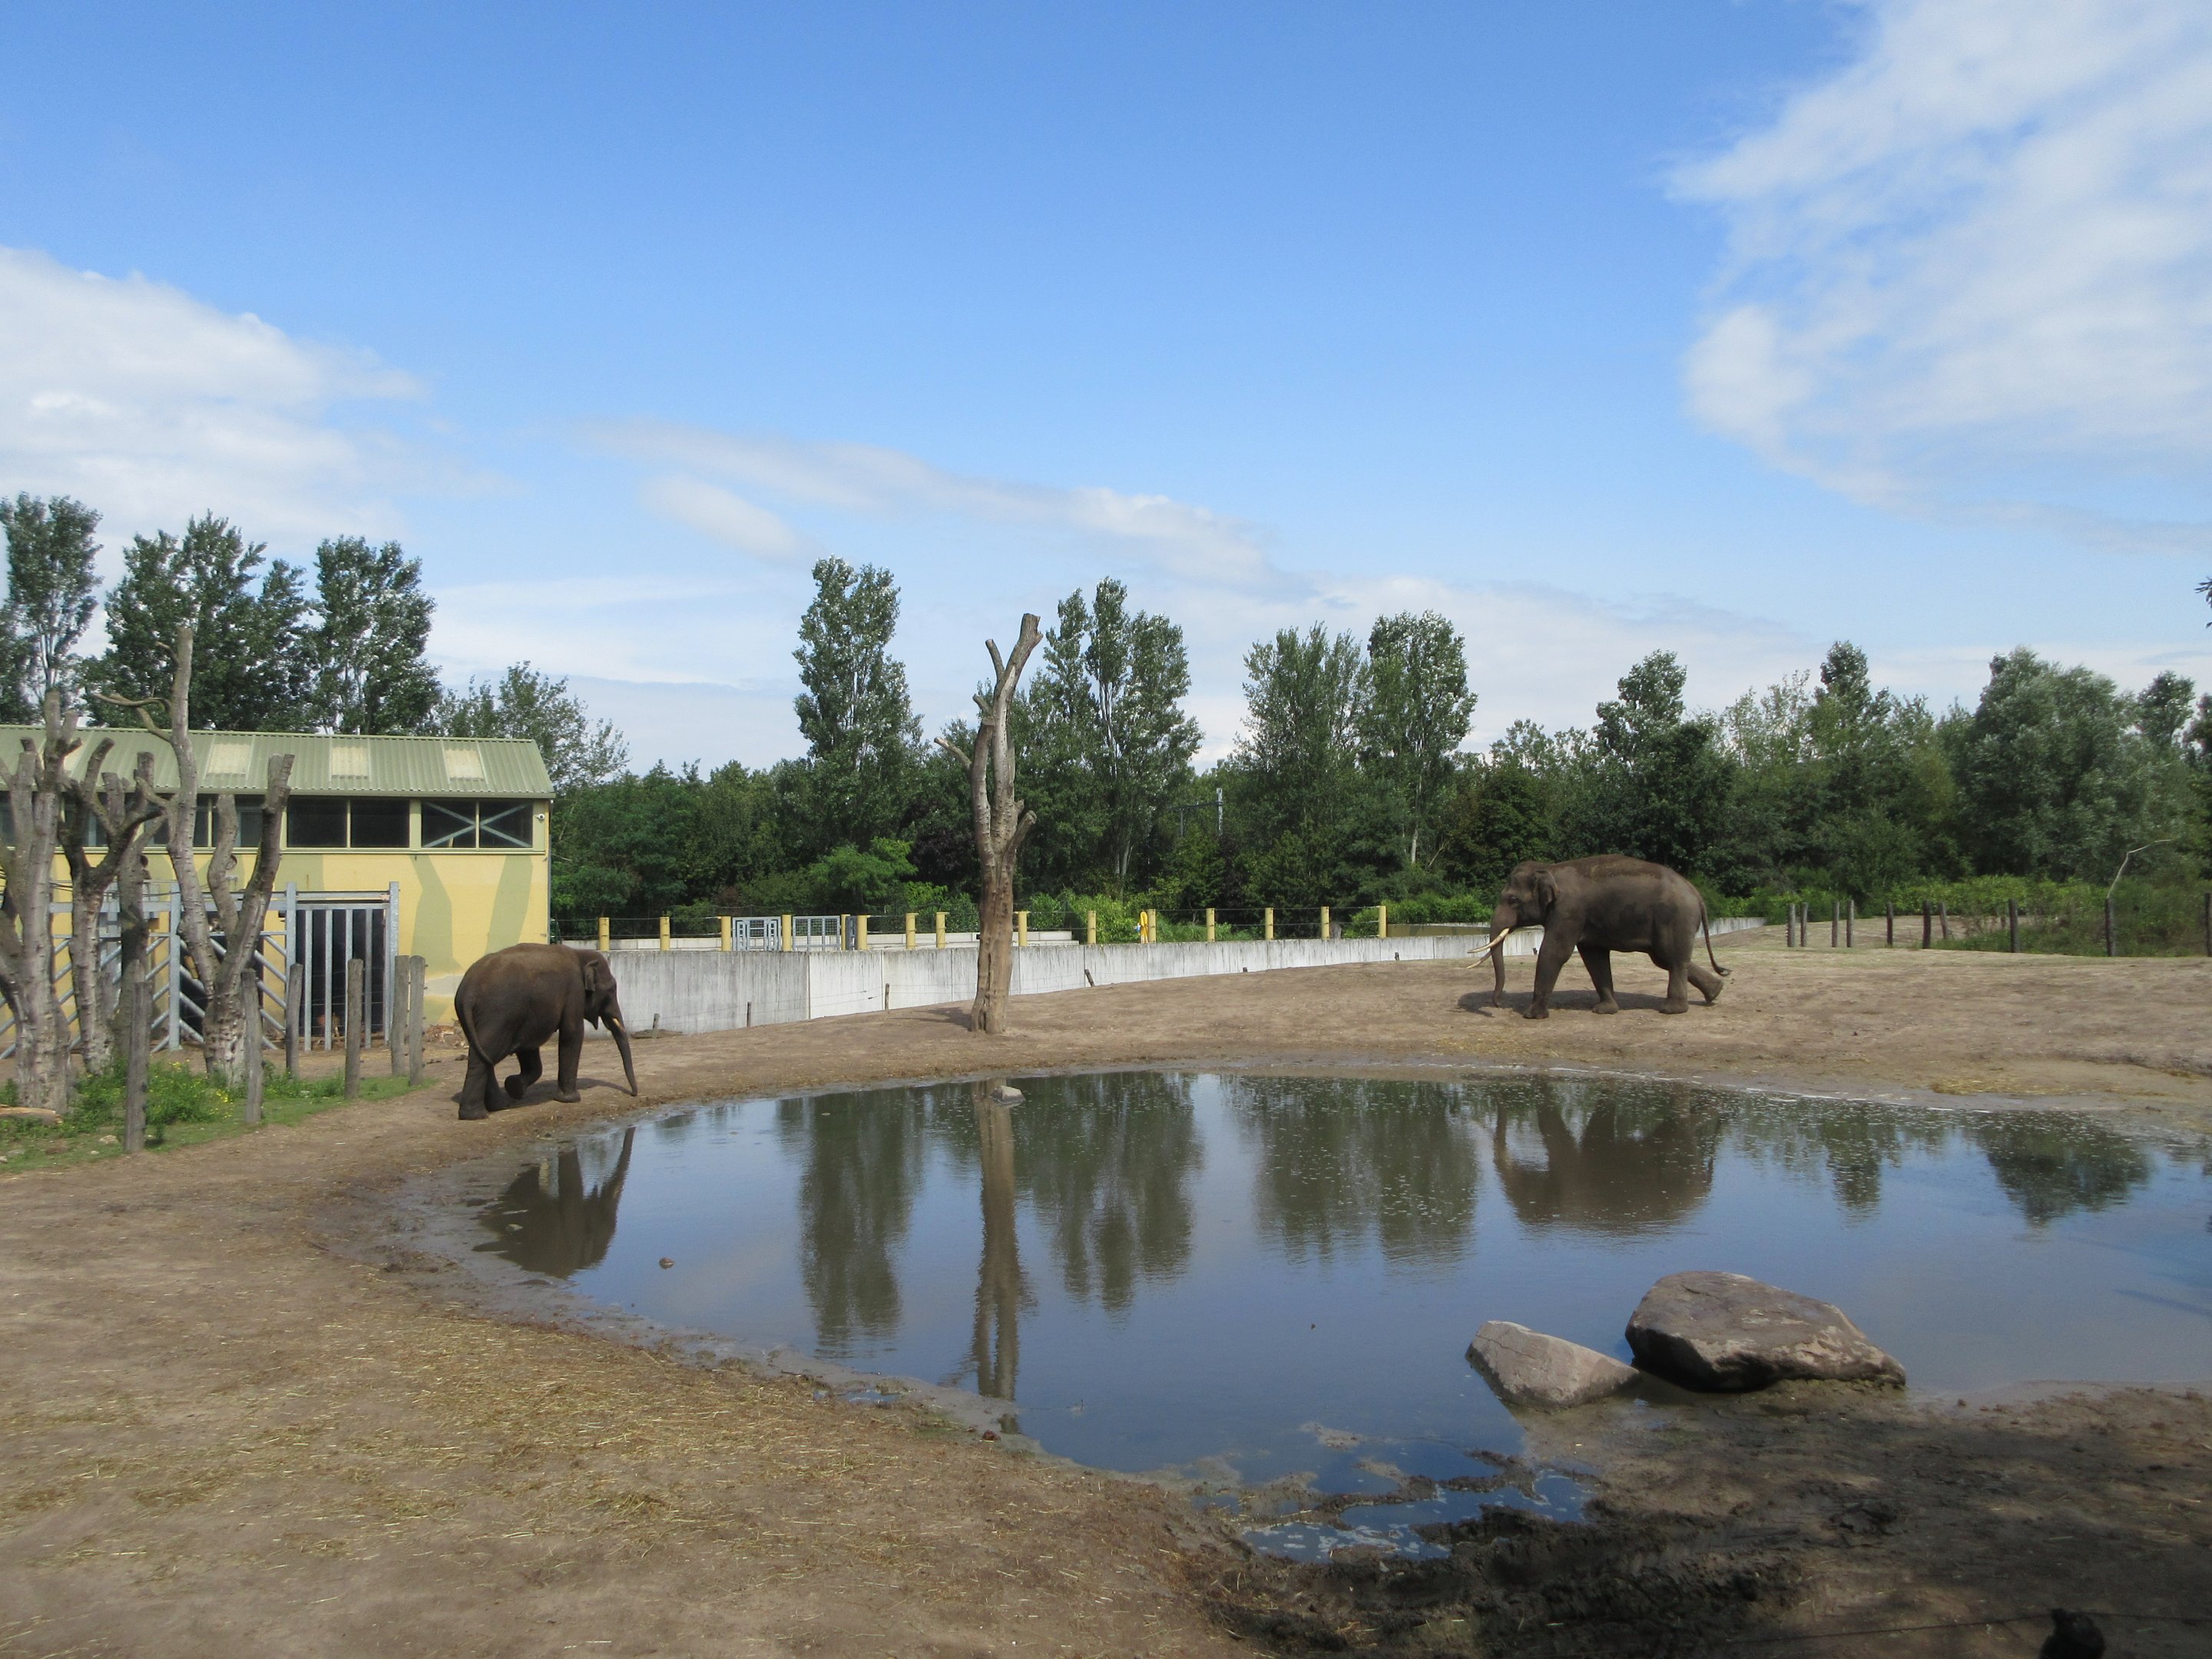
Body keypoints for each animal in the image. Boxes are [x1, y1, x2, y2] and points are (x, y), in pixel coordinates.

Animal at [454, 943, 638, 1120]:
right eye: (612, 990)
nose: (634, 1094)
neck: (579, 953)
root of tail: (468, 991)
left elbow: (529, 1048)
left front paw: (515, 1087)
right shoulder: (574, 991)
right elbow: (572, 1033)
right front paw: (571, 1100)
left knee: (484, 1053)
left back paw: (497, 1107)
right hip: (499, 1014)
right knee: (484, 1055)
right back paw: (477, 1115)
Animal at [1486, 855, 1728, 1019]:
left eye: (1513, 900)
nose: (1497, 1004)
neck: (1549, 868)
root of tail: (1697, 895)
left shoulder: (1569, 911)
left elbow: (1554, 952)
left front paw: (1532, 1016)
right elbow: (1594, 956)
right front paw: (1605, 1010)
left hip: (1674, 918)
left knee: (1672, 958)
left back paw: (1671, 1010)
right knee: (1665, 958)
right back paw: (1716, 992)